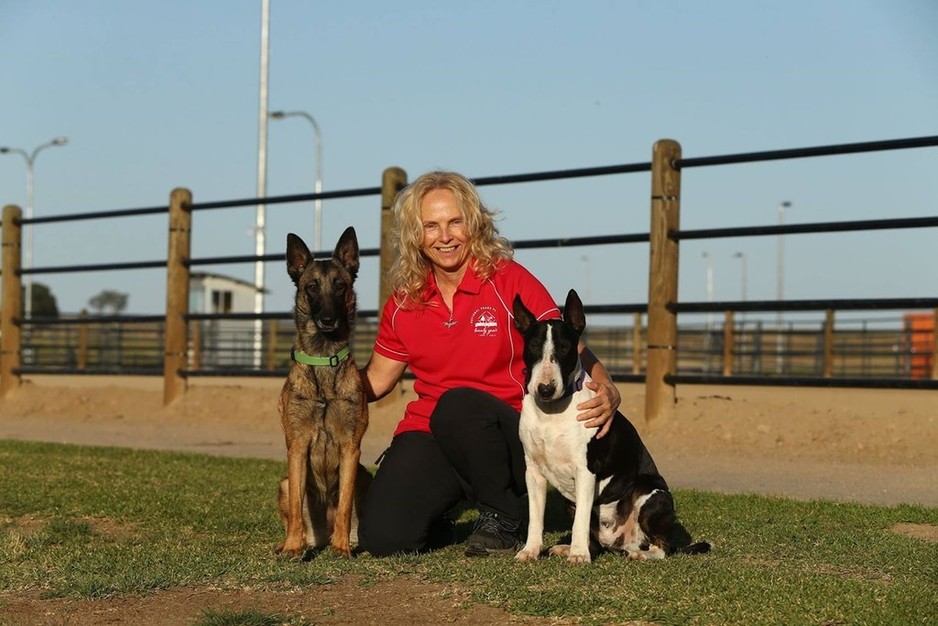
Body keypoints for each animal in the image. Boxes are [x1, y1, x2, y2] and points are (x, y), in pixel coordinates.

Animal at [274, 225, 370, 556]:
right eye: (312, 287)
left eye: (340, 285)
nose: (328, 319)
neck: (323, 359)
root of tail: (322, 535)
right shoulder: (297, 446)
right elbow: (296, 506)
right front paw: (292, 547)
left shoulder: (350, 448)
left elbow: (343, 506)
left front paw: (343, 548)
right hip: (284, 482)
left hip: (365, 476)